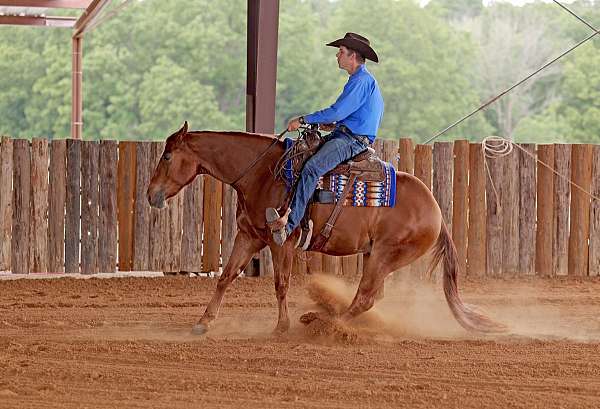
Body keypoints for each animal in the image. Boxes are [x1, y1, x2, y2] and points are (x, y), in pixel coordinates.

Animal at [146, 122, 506, 334]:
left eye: (167, 156)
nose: (151, 195)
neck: (262, 174)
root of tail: (437, 213)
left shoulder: (281, 242)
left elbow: (280, 284)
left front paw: (282, 327)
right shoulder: (249, 236)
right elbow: (226, 277)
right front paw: (203, 322)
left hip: (386, 255)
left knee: (365, 297)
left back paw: (325, 324)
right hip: (376, 256)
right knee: (372, 296)